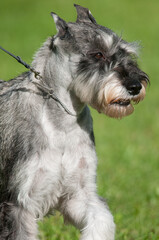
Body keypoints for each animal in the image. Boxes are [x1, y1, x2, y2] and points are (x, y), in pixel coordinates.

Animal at [0, 4, 149, 240]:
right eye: (97, 54)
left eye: (126, 53)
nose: (135, 85)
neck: (62, 124)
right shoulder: (18, 203)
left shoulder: (79, 195)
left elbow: (101, 221)